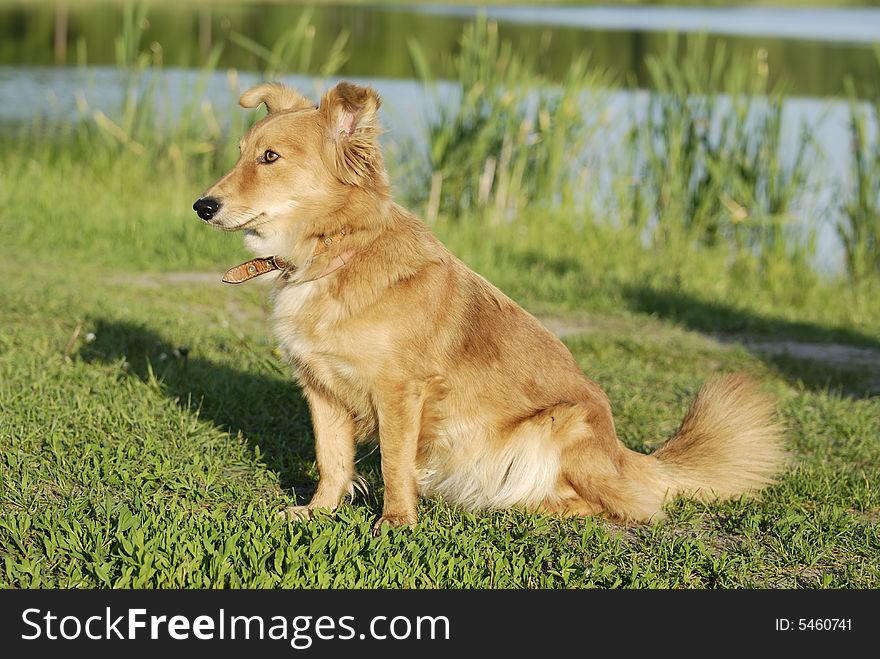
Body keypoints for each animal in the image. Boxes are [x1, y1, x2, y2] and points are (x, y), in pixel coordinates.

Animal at [192, 82, 784, 532]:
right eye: (241, 152)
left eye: (270, 158)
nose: (202, 205)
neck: (337, 251)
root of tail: (623, 454)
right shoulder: (320, 387)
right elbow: (331, 459)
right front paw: (317, 511)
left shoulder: (399, 393)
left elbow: (393, 463)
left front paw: (395, 523)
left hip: (560, 425)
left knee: (619, 506)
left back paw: (533, 505)